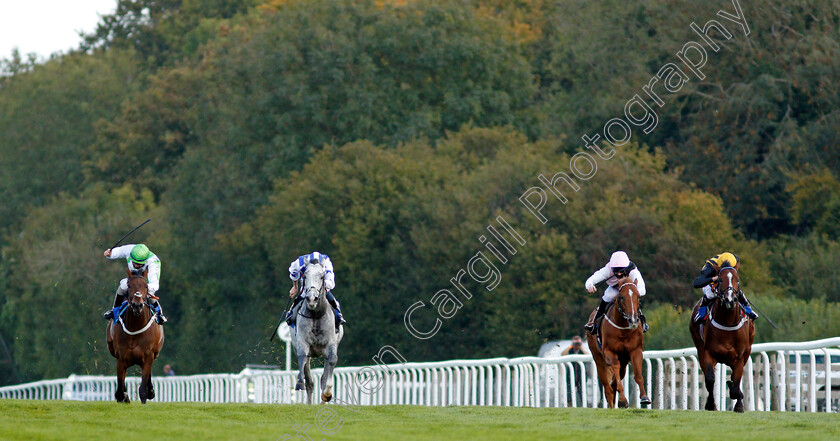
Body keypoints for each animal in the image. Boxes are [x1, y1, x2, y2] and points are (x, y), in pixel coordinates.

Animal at [105, 268, 164, 402]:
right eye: (129, 286)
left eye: (146, 286)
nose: (137, 305)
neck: (135, 328)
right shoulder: (121, 357)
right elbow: (120, 389)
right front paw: (125, 396)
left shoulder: (148, 356)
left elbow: (143, 389)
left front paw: (148, 392)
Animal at [294, 260, 342, 404]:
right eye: (305, 276)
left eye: (322, 277)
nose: (311, 299)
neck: (316, 315)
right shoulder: (302, 342)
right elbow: (302, 358)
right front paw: (300, 383)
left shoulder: (331, 344)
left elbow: (332, 361)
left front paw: (327, 394)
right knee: (309, 379)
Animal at [588, 276, 652, 408]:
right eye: (621, 297)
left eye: (638, 297)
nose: (633, 320)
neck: (623, 329)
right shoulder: (609, 352)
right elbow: (615, 371)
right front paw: (622, 400)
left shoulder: (635, 351)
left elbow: (638, 375)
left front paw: (644, 397)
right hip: (599, 359)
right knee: (608, 388)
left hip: (624, 361)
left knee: (614, 383)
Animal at [688, 264, 756, 412]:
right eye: (720, 280)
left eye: (737, 280)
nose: (730, 300)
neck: (728, 322)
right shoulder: (708, 353)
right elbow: (710, 380)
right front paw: (710, 404)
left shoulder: (740, 357)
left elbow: (736, 383)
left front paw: (739, 405)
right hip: (699, 348)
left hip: (747, 350)